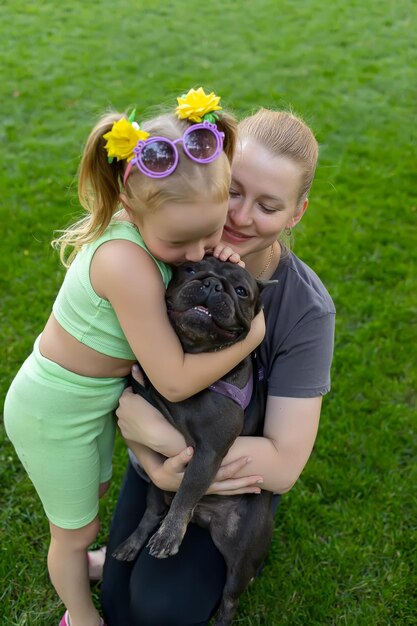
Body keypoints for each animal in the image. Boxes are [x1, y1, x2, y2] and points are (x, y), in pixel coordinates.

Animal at [114, 256, 274, 620]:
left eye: (241, 291)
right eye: (189, 269)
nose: (212, 283)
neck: (192, 353)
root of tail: (204, 517)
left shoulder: (209, 452)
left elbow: (188, 488)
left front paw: (170, 536)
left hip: (242, 556)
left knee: (230, 598)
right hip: (156, 491)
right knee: (151, 512)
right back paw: (132, 543)